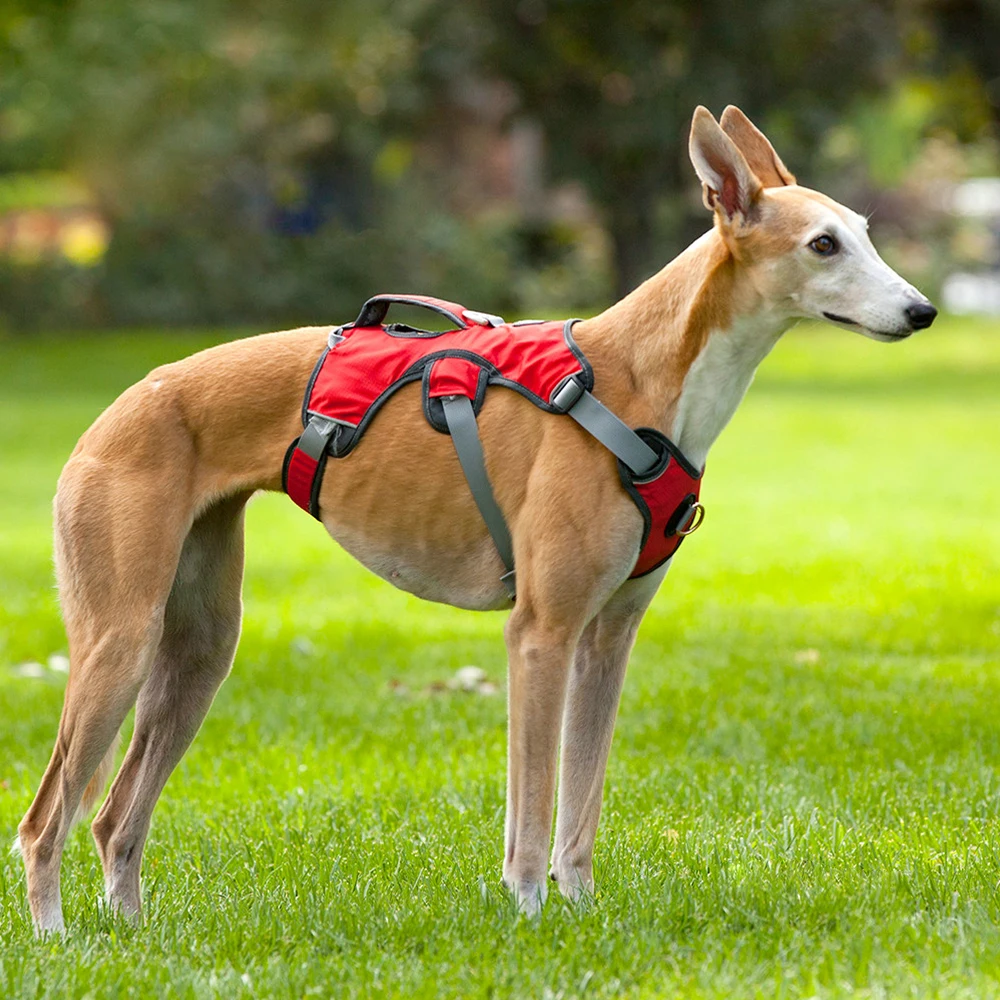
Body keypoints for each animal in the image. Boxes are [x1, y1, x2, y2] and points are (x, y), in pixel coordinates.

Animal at [17, 103, 936, 928]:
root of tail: (121, 407)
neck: (637, 380)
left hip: (199, 651)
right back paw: (59, 940)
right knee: (43, 822)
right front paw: (529, 918)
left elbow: (579, 808)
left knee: (114, 817)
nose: (922, 312)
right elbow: (530, 807)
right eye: (823, 245)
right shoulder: (540, 633)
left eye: (864, 231)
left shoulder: (607, 639)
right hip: (119, 641)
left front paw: (583, 913)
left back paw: (131, 935)